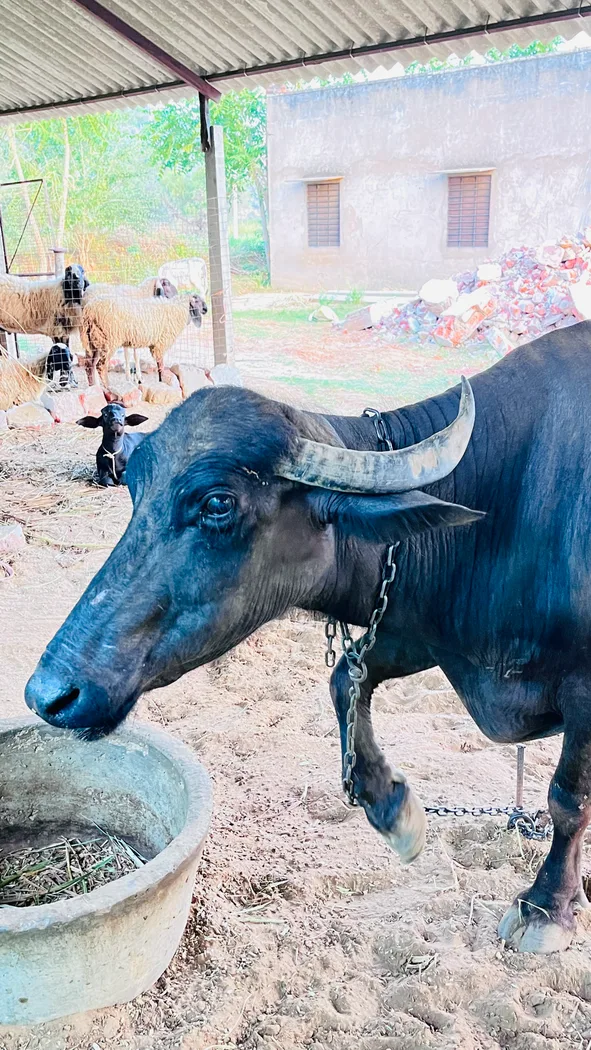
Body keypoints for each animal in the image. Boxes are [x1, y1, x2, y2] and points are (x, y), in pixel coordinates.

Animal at [25, 321, 591, 953]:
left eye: (217, 502)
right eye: (135, 488)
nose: (50, 694)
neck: (497, 517)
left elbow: (567, 799)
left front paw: (549, 907)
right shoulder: (417, 626)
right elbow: (345, 678)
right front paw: (391, 804)